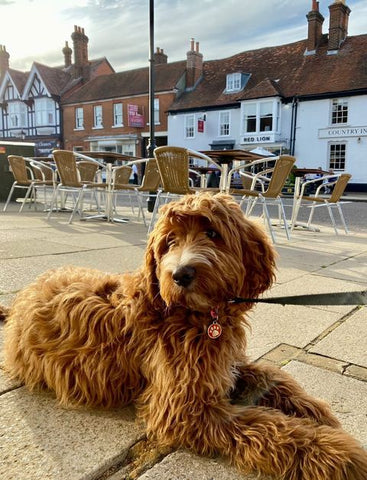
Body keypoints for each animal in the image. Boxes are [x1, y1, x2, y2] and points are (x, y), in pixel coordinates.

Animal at [2, 193, 367, 478]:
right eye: (170, 242)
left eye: (212, 232)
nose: (180, 274)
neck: (196, 315)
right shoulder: (185, 407)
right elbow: (268, 426)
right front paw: (340, 454)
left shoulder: (227, 362)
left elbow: (272, 375)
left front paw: (314, 411)